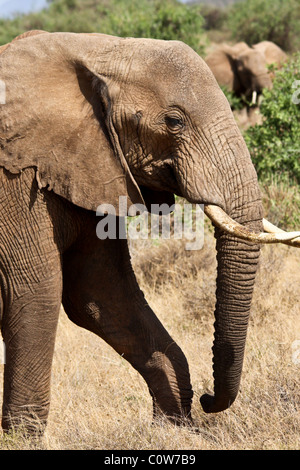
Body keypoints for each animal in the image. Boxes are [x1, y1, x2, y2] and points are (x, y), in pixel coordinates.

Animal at [0, 30, 300, 434]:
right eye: (174, 122)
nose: (208, 399)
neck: (96, 48)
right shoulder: (13, 183)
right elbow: (36, 291)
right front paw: (22, 438)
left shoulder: (94, 162)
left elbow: (99, 294)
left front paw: (174, 428)